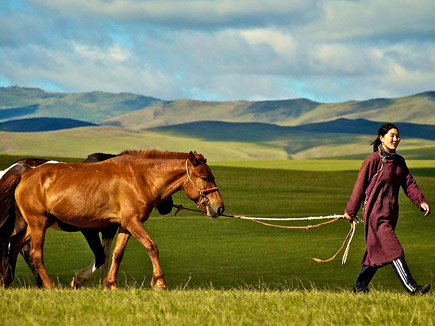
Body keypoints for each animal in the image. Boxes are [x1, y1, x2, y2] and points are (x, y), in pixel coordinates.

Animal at [0, 149, 225, 290]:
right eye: (204, 178)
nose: (219, 207)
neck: (139, 178)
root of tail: (23, 175)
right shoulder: (131, 222)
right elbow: (151, 247)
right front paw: (159, 282)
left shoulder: (124, 225)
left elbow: (116, 254)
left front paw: (111, 284)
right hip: (38, 223)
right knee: (35, 254)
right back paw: (49, 286)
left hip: (36, 224)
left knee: (16, 243)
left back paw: (6, 281)